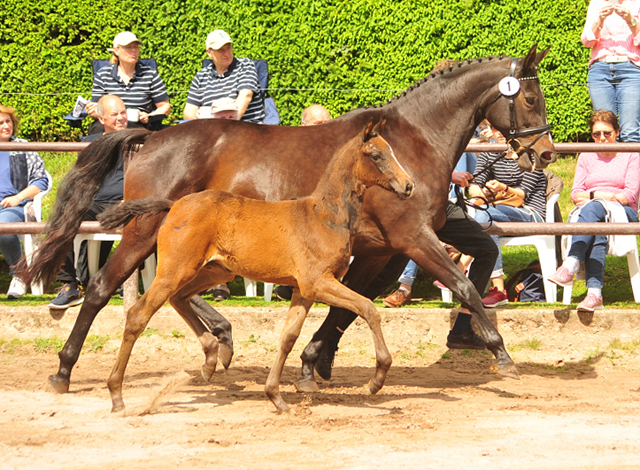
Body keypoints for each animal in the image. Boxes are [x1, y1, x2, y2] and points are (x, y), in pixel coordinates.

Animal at [97, 119, 412, 414]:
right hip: (176, 269)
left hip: (215, 270)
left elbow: (288, 337)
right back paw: (116, 394)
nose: (408, 185)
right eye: (376, 155)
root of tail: (173, 205)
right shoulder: (318, 282)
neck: (325, 216)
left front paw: (275, 396)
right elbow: (368, 309)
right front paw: (377, 379)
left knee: (179, 298)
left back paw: (211, 358)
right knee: (138, 315)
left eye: (392, 151)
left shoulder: (304, 290)